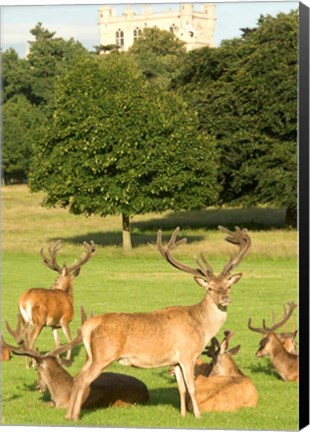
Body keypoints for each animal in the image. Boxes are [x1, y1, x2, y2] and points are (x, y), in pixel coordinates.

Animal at [64, 224, 251, 420]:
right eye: (210, 288)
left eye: (228, 285)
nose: (225, 298)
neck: (201, 327)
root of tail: (87, 325)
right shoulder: (187, 354)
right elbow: (191, 388)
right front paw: (198, 416)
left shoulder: (175, 361)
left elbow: (181, 388)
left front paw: (183, 414)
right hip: (104, 354)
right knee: (84, 380)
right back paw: (75, 415)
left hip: (90, 355)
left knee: (78, 377)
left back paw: (68, 414)